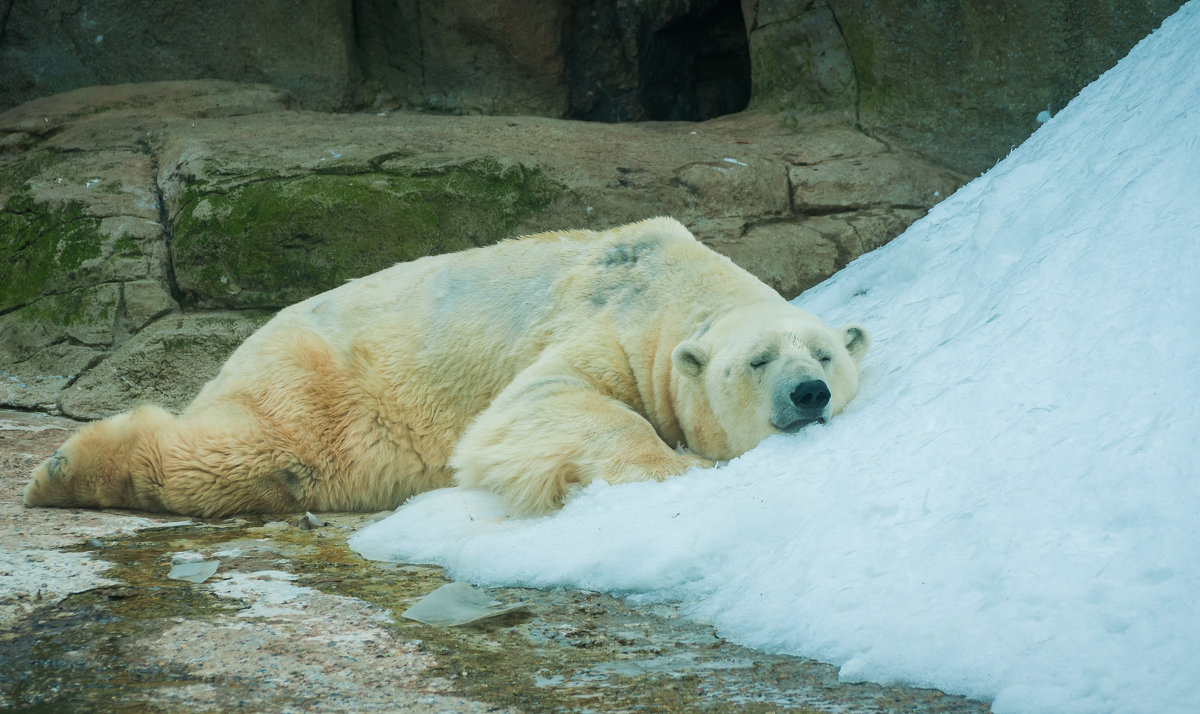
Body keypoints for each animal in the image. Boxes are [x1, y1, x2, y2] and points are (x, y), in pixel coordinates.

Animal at [23, 219, 868, 520]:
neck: (679, 283)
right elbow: (544, 401)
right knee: (250, 453)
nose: (809, 392)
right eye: (759, 359)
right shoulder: (612, 322)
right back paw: (63, 471)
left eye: (825, 352)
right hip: (320, 384)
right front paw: (672, 469)